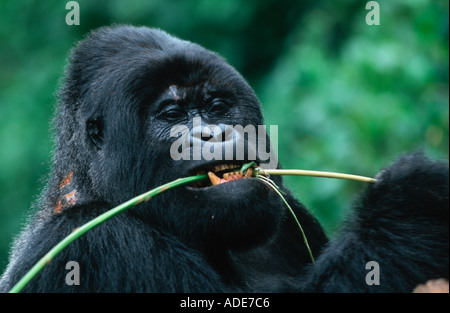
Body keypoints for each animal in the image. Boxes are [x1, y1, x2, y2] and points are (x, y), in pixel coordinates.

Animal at [0, 25, 448, 292]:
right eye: (173, 115)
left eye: (216, 108)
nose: (213, 134)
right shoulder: (91, 241)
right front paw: (409, 209)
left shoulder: (289, 216)